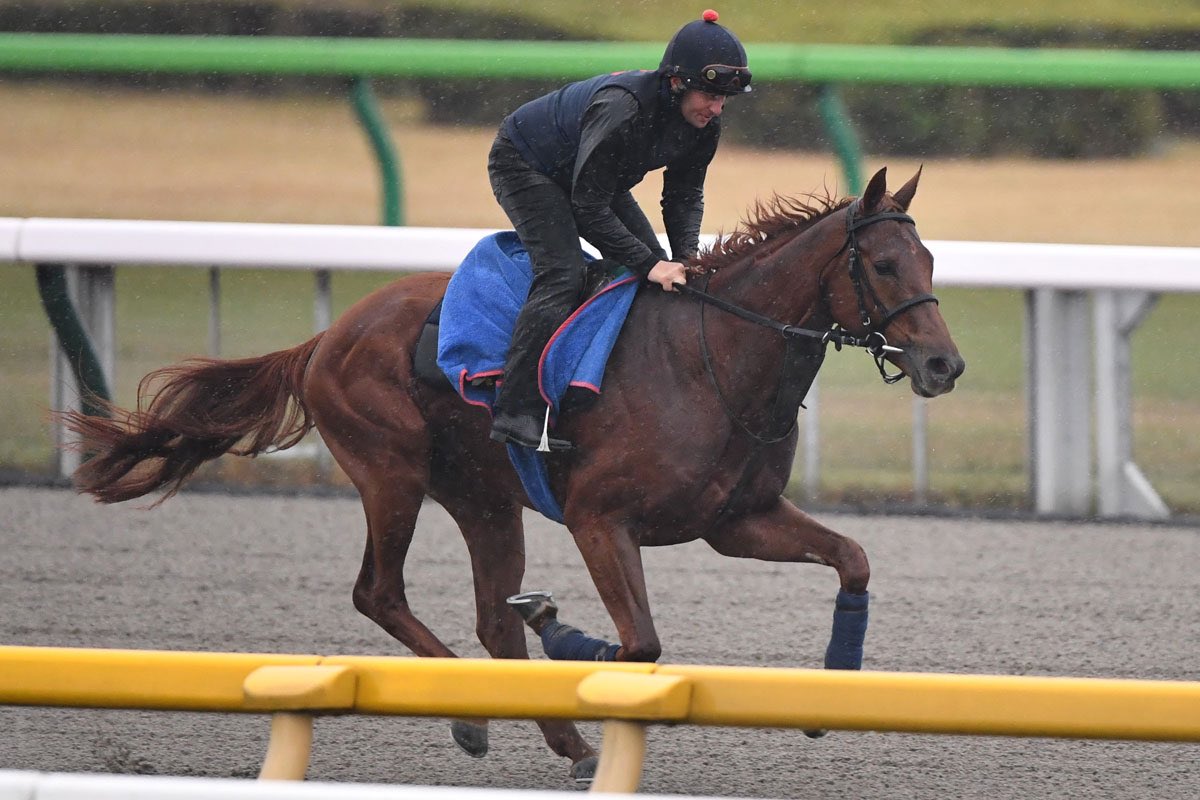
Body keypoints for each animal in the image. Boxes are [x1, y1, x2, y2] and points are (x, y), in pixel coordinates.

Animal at [62, 166, 964, 782]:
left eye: (928, 259)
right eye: (884, 265)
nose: (944, 364)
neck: (711, 360)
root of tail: (326, 338)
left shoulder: (737, 521)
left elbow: (853, 559)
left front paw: (831, 692)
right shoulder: (603, 519)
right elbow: (640, 643)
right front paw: (562, 634)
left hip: (484, 498)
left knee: (490, 618)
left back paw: (553, 731)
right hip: (391, 472)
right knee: (379, 592)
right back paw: (473, 715)